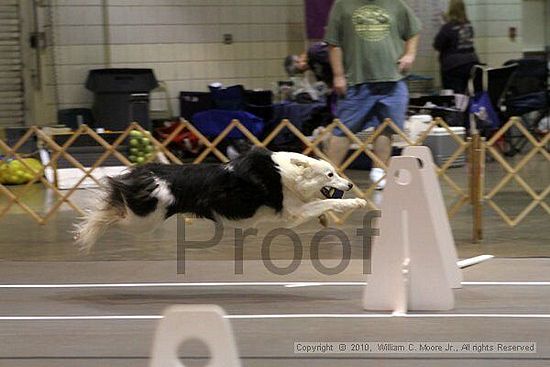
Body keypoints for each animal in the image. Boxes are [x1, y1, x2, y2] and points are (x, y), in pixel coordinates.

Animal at [73, 147, 366, 253]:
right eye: (330, 174)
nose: (351, 184)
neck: (288, 175)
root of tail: (145, 173)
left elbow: (321, 206)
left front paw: (326, 218)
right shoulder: (292, 213)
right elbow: (327, 202)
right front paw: (357, 203)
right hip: (143, 220)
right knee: (108, 213)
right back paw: (88, 227)